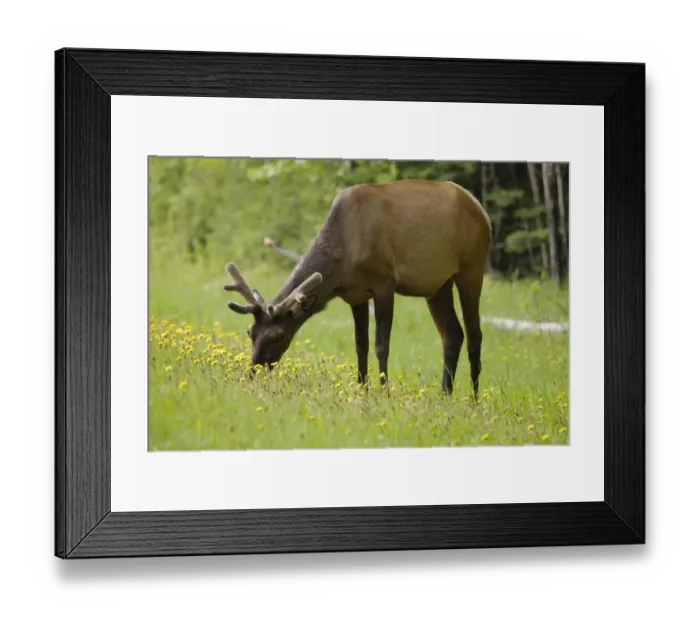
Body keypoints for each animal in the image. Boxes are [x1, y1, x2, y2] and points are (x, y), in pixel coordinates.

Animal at [223, 179, 492, 398]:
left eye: (278, 335)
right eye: (250, 332)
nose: (253, 372)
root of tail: (482, 210)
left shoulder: (385, 283)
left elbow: (381, 345)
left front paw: (384, 393)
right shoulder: (356, 295)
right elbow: (360, 344)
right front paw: (362, 390)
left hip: (472, 265)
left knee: (475, 334)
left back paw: (474, 400)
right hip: (437, 284)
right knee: (453, 334)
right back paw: (445, 395)